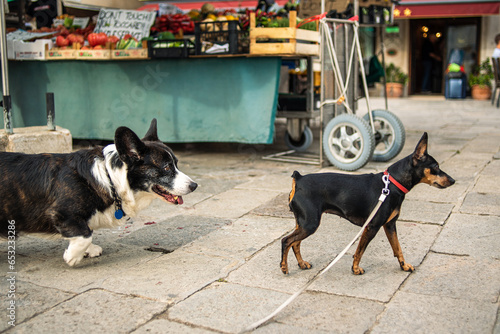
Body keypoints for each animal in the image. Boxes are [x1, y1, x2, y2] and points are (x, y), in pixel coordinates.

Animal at [0, 119, 198, 266]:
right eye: (166, 167)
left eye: (176, 164)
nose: (194, 185)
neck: (109, 178)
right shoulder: (60, 213)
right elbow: (85, 235)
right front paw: (72, 256)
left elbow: (85, 230)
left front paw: (88, 250)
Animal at [284, 132, 456, 276]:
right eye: (436, 167)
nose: (453, 180)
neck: (392, 184)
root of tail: (299, 179)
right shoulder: (372, 227)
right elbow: (360, 250)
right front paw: (355, 269)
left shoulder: (390, 225)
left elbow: (398, 248)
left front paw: (404, 266)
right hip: (310, 224)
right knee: (286, 241)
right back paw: (284, 267)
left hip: (303, 224)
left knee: (295, 243)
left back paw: (301, 264)